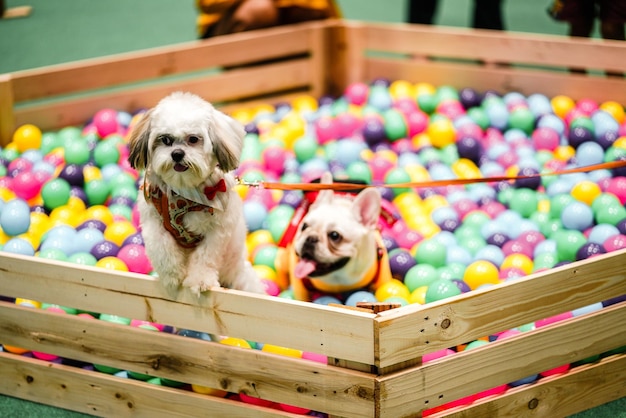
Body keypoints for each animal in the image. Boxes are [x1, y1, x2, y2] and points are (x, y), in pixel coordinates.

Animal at [127, 91, 264, 296]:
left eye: (193, 139)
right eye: (165, 139)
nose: (177, 153)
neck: (182, 195)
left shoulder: (217, 231)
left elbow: (205, 257)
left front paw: (200, 280)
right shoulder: (153, 223)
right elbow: (163, 249)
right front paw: (172, 276)